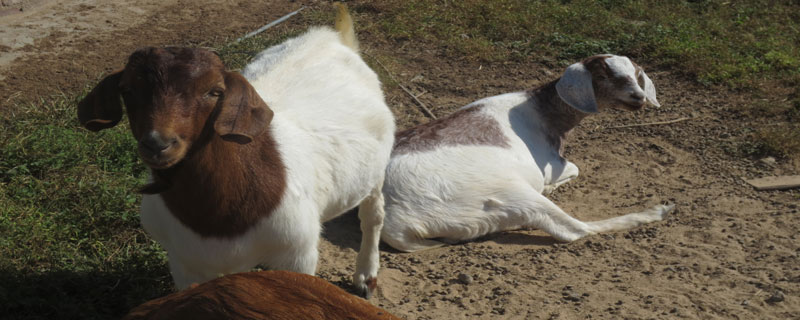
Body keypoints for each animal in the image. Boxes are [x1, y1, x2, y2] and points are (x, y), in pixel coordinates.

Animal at [76, 4, 396, 298]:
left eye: (214, 91)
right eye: (127, 90)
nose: (158, 143)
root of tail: (328, 37)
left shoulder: (297, 254)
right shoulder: (184, 263)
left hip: (376, 170)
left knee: (373, 214)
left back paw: (366, 277)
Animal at [382, 54, 676, 252]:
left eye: (637, 74)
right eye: (605, 75)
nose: (638, 97)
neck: (542, 110)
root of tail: (395, 222)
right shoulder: (550, 164)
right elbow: (574, 169)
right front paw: (552, 186)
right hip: (511, 194)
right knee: (574, 229)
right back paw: (657, 211)